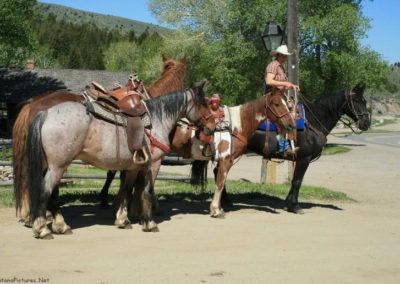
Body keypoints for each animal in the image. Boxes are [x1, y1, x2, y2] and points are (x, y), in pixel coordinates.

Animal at [175, 87, 296, 216]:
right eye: (276, 104)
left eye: (287, 105)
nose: (291, 125)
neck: (235, 126)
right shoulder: (226, 160)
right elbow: (220, 183)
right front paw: (216, 210)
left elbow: (220, 181)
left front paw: (219, 207)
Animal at [220, 84, 370, 213]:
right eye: (357, 100)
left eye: (365, 101)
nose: (366, 123)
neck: (313, 121)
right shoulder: (304, 158)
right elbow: (298, 181)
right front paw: (295, 206)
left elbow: (294, 180)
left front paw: (289, 203)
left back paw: (226, 202)